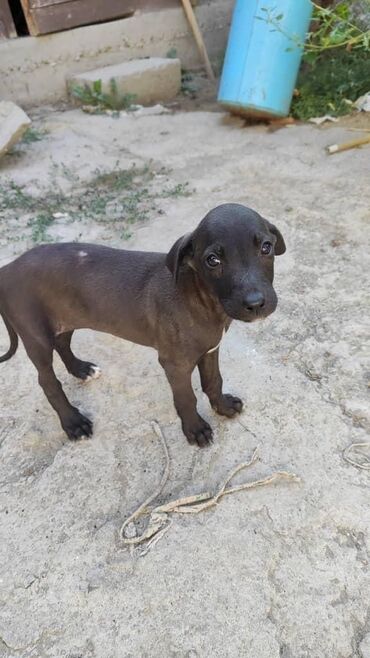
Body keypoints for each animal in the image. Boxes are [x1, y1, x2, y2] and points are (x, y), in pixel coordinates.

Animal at [0, 201, 286, 446]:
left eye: (266, 247)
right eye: (213, 260)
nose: (255, 303)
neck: (201, 299)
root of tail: (8, 267)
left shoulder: (210, 350)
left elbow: (214, 382)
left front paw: (223, 407)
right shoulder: (175, 363)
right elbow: (186, 397)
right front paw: (194, 429)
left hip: (64, 318)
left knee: (62, 343)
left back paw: (81, 369)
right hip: (36, 336)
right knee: (47, 382)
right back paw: (73, 422)